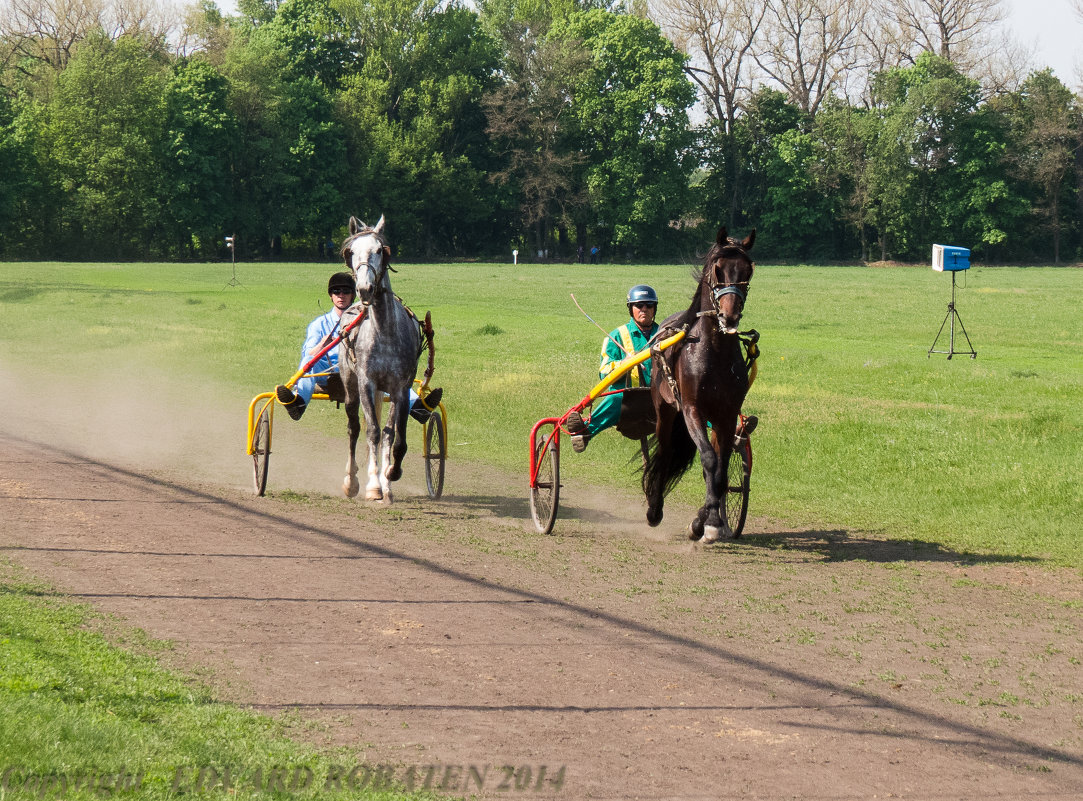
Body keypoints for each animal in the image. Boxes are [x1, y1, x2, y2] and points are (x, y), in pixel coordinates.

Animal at [340, 213, 420, 500]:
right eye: (351, 251)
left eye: (379, 250)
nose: (365, 288)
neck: (384, 331)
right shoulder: (366, 382)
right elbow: (372, 431)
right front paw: (373, 485)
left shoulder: (400, 388)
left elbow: (394, 436)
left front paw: (389, 476)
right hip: (350, 385)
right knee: (354, 428)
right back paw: (352, 480)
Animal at [641, 227, 753, 543]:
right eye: (718, 269)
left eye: (748, 269)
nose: (729, 315)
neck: (714, 352)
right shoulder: (692, 409)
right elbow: (709, 460)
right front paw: (710, 521)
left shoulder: (726, 415)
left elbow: (720, 472)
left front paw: (708, 521)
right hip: (665, 410)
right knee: (665, 453)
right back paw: (654, 510)